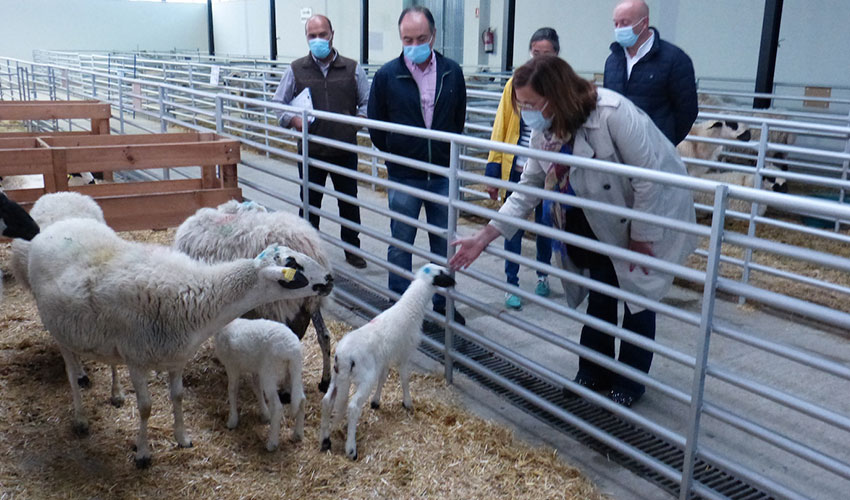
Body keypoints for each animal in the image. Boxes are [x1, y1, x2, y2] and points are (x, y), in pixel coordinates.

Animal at [215, 318, 304, 452]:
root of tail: (292, 350)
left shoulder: (232, 366)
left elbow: (232, 389)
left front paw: (232, 420)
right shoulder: (256, 369)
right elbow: (257, 388)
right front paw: (264, 414)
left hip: (270, 373)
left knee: (277, 407)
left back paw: (272, 443)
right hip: (293, 373)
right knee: (301, 399)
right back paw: (297, 434)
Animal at [316, 264, 454, 458]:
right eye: (441, 274)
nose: (454, 282)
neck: (410, 308)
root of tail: (344, 356)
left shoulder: (385, 358)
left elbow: (383, 378)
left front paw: (376, 402)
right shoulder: (405, 354)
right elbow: (404, 379)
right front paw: (408, 403)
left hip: (337, 377)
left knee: (328, 401)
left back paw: (325, 441)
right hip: (365, 378)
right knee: (353, 407)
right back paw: (351, 450)